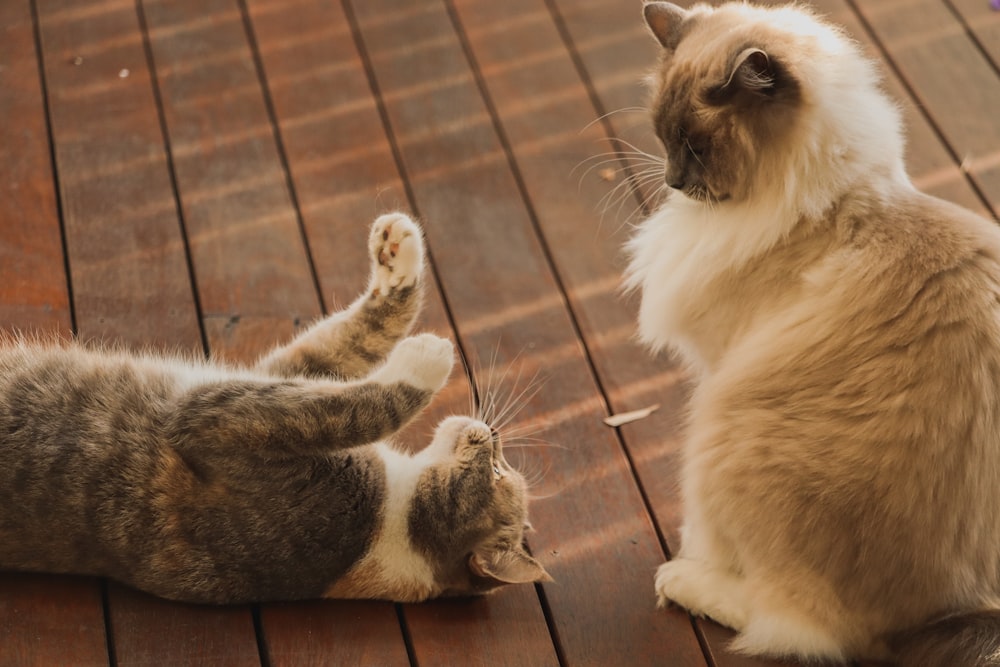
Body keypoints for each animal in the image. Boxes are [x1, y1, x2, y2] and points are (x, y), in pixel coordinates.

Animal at [0, 213, 548, 604]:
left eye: (497, 472)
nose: (492, 434)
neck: (396, 508)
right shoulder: (279, 373)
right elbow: (354, 339)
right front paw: (399, 255)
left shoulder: (218, 419)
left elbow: (365, 404)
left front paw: (430, 356)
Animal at [628, 2, 1000, 664]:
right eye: (662, 139)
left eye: (695, 147)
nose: (670, 180)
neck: (836, 203)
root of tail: (957, 613)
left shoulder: (717, 370)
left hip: (719, 427)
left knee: (798, 625)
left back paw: (683, 578)